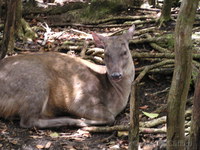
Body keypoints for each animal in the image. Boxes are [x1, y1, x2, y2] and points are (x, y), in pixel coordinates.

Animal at [0, 25, 136, 128]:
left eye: (125, 52)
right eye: (106, 54)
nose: (116, 74)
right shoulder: (79, 99)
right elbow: (110, 117)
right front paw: (83, 120)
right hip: (36, 84)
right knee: (28, 121)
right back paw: (71, 120)